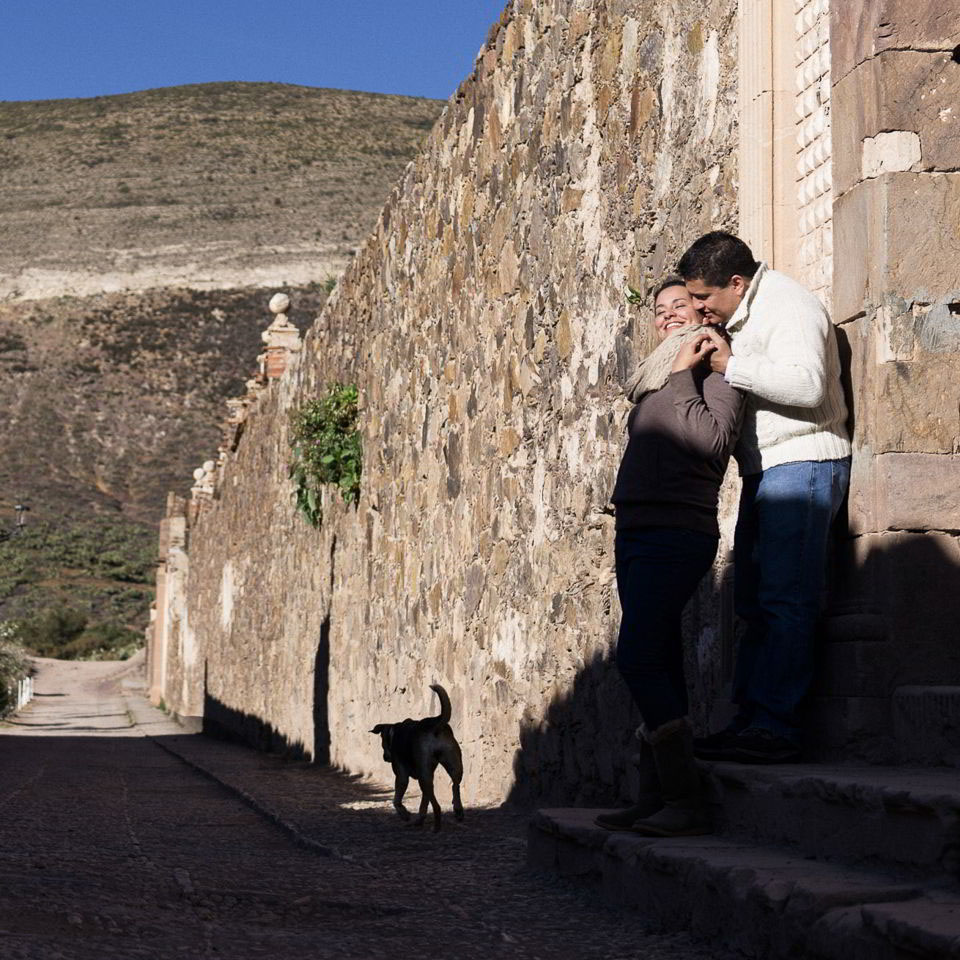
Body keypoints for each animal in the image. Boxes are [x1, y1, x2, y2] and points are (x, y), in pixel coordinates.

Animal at [372, 684, 464, 832]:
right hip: (454, 765)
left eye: (382, 743)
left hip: (424, 777)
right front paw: (419, 819)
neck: (394, 732)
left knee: (437, 806)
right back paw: (458, 810)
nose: (385, 757)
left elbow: (396, 800)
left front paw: (404, 814)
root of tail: (435, 724)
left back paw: (436, 827)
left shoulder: (401, 776)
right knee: (455, 786)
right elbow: (423, 804)